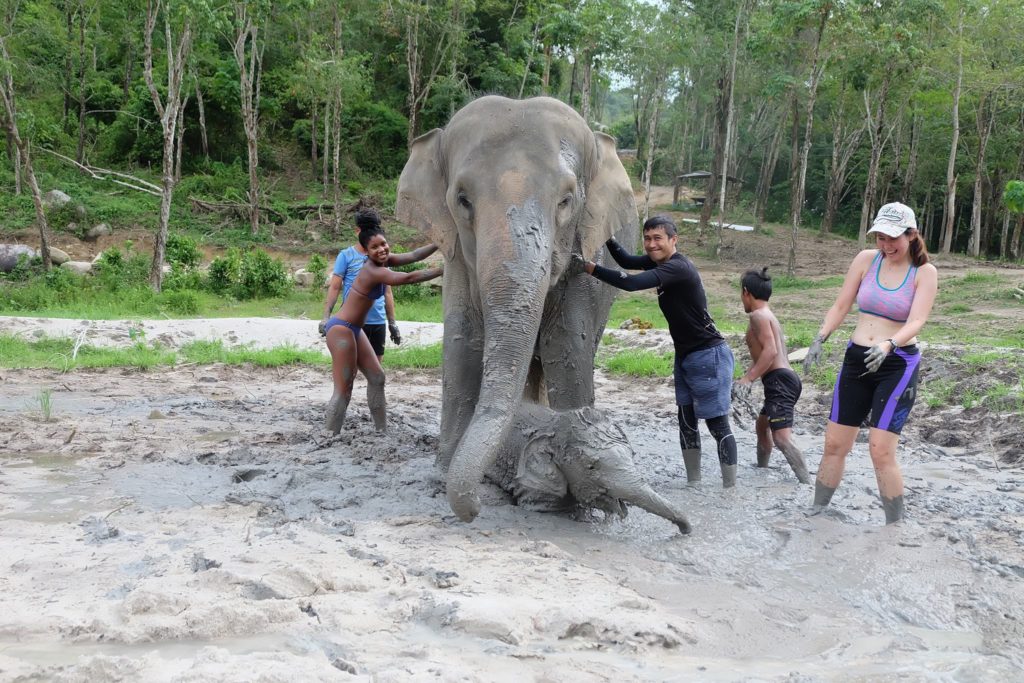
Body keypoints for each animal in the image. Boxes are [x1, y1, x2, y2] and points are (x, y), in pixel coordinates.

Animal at [396, 95, 638, 523]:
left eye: (566, 200)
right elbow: (463, 342)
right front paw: (441, 480)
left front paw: (581, 507)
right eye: (462, 199)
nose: (476, 507)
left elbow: (567, 347)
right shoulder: (457, 256)